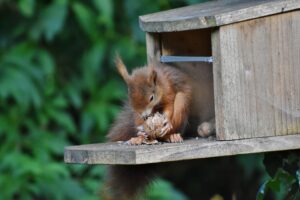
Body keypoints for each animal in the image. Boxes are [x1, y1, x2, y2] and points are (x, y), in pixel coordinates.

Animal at [105, 55, 216, 199]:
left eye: (151, 97)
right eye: (130, 97)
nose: (145, 116)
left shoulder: (168, 89)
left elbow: (169, 105)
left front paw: (166, 121)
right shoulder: (138, 112)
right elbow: (140, 120)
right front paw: (143, 128)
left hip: (181, 105)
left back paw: (171, 136)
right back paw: (139, 137)